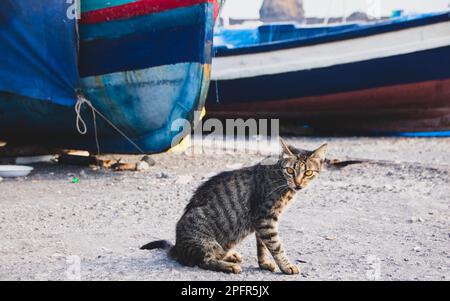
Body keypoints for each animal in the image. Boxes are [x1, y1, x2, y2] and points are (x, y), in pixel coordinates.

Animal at [142, 139, 328, 274]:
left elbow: (262, 246)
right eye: (290, 171)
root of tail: (177, 247)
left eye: (308, 173)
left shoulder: (261, 222)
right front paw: (286, 266)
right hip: (203, 237)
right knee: (204, 261)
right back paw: (229, 266)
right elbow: (276, 246)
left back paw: (230, 256)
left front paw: (264, 264)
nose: (298, 183)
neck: (281, 180)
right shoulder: (265, 218)